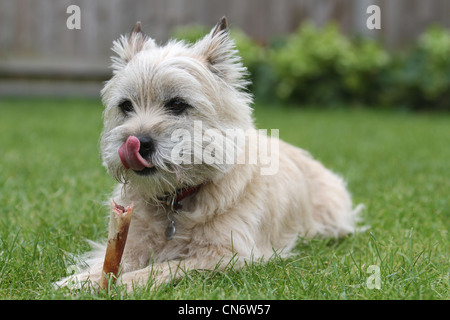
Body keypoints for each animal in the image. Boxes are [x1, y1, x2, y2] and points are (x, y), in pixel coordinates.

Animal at [58, 16, 360, 292]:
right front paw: (84, 279)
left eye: (177, 104)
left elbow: (167, 266)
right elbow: (114, 261)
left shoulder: (229, 255)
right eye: (126, 106)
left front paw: (130, 282)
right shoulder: (130, 238)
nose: (137, 143)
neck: (177, 199)